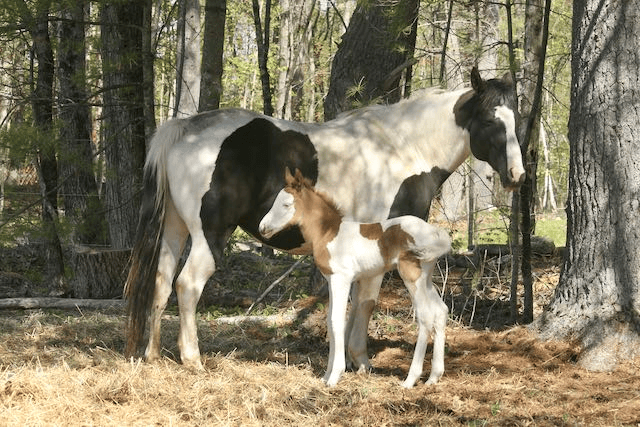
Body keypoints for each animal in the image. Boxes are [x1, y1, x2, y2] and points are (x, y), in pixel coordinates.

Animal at [259, 168, 451, 387]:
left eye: (286, 204)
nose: (262, 227)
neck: (328, 233)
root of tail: (437, 234)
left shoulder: (341, 278)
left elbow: (337, 321)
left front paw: (335, 376)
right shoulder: (332, 280)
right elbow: (330, 321)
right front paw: (326, 375)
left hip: (411, 274)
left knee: (426, 316)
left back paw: (410, 380)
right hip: (426, 277)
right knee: (441, 311)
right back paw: (434, 377)